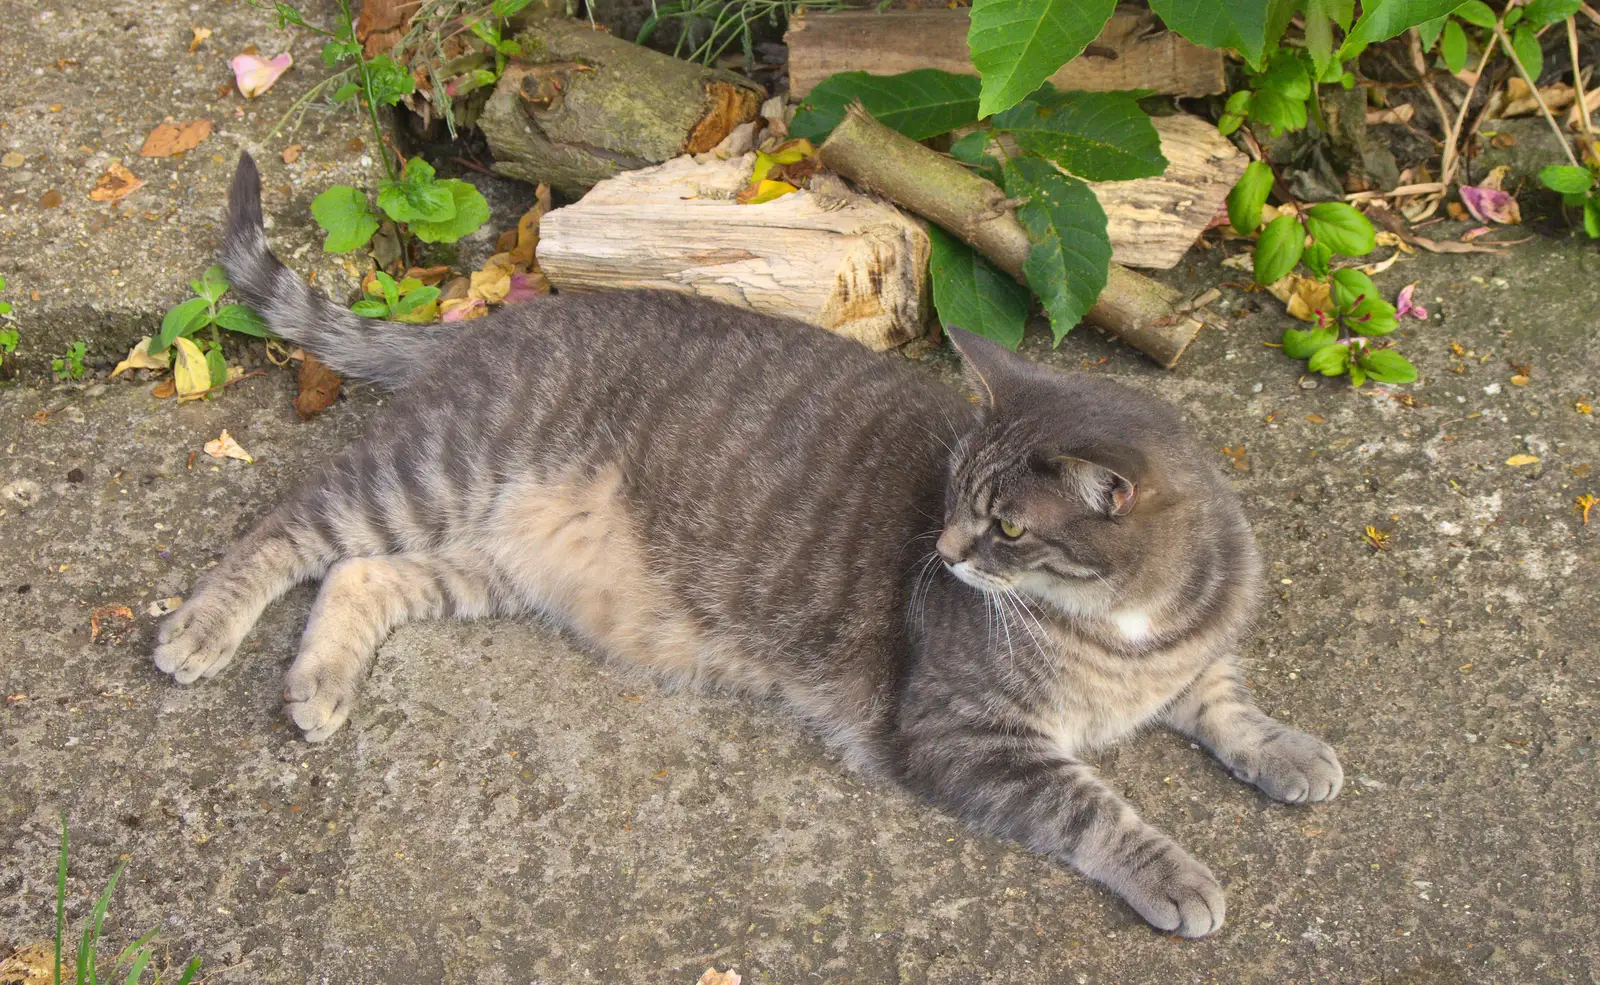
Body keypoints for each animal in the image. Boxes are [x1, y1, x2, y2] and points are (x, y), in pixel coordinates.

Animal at [156, 150, 1344, 933]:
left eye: (1004, 522)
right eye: (957, 495)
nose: (947, 548)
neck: (1121, 629)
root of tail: (494, 320)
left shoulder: (1185, 660)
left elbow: (1226, 699)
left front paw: (1291, 750)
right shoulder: (967, 737)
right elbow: (1096, 808)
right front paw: (1176, 872)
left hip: (485, 560)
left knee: (357, 575)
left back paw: (318, 683)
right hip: (431, 475)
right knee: (288, 529)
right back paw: (199, 630)